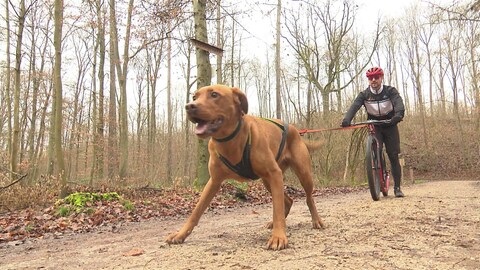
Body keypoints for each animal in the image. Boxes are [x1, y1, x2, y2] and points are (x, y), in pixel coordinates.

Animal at [166, 84, 326, 249]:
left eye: (214, 94)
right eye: (194, 97)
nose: (189, 106)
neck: (229, 141)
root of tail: (296, 130)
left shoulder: (274, 173)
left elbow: (277, 209)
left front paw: (278, 237)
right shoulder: (214, 182)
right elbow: (196, 212)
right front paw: (180, 234)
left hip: (302, 173)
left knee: (308, 198)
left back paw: (316, 220)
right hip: (268, 180)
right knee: (287, 201)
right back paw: (273, 223)